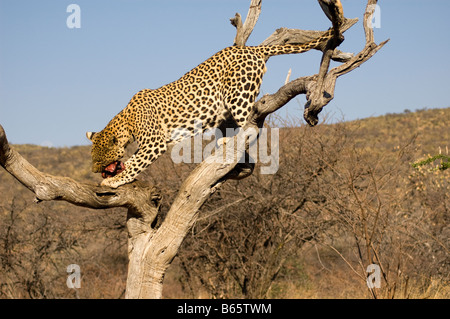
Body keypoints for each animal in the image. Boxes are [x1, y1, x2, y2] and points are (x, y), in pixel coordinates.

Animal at [88, 28, 334, 188]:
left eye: (99, 159)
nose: (93, 171)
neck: (127, 120)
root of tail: (252, 49)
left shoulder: (154, 143)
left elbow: (135, 164)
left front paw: (114, 180)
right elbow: (132, 161)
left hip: (239, 96)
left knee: (252, 127)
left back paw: (233, 144)